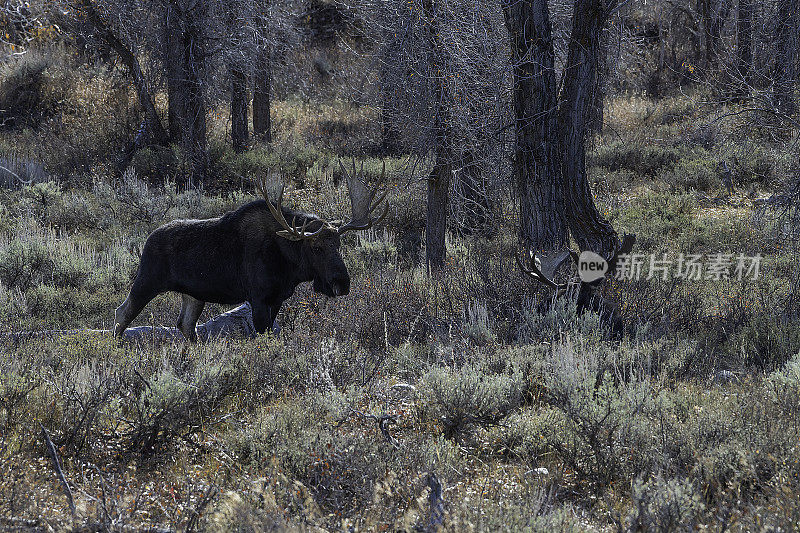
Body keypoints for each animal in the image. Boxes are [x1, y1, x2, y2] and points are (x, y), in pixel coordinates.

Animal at [112, 160, 388, 340]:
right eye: (317, 247)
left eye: (339, 244)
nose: (342, 283)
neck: (288, 265)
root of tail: (147, 241)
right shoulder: (257, 297)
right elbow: (262, 336)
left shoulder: (277, 298)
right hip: (147, 280)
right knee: (122, 313)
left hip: (193, 294)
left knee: (185, 325)